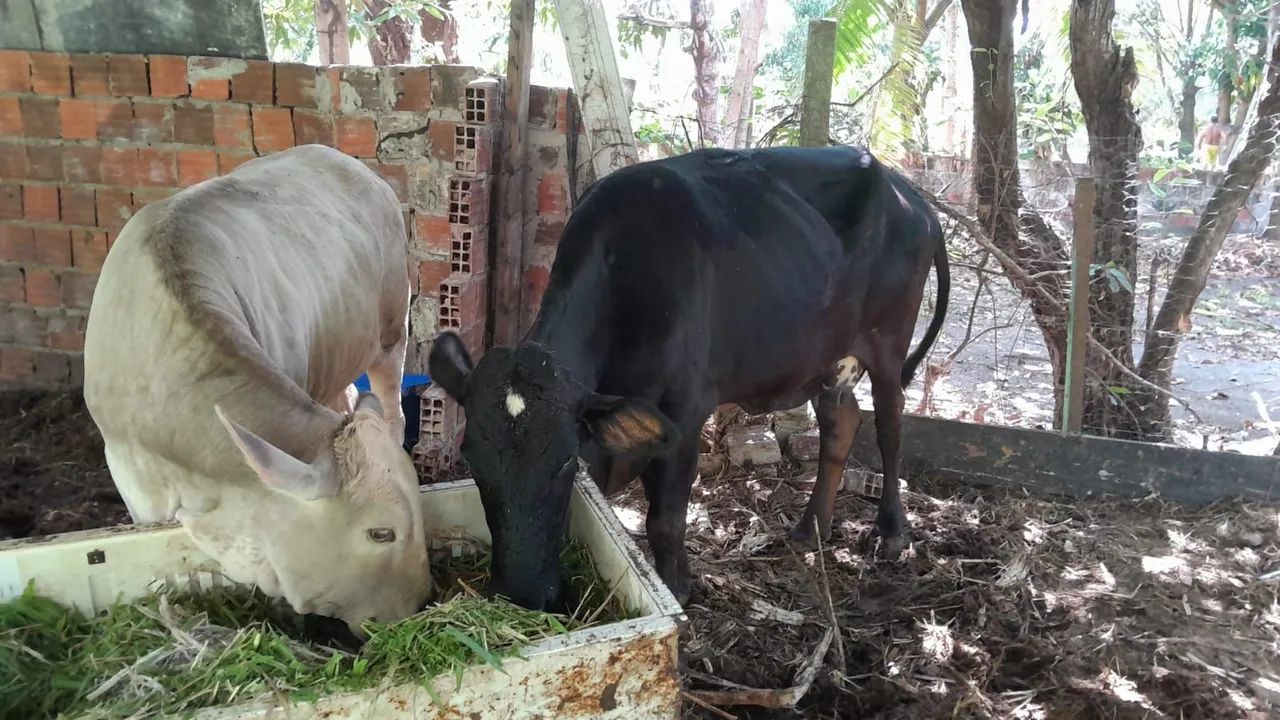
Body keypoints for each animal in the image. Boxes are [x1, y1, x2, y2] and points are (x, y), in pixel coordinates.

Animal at [83, 145, 432, 634]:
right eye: (381, 533)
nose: (423, 603)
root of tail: (340, 158)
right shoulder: (133, 489)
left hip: (390, 331)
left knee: (392, 406)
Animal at [429, 145, 949, 610]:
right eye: (472, 460)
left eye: (565, 463)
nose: (520, 595)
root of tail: (912, 196)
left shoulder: (685, 409)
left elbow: (666, 518)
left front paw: (677, 587)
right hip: (828, 352)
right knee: (840, 420)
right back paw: (811, 529)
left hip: (888, 343)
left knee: (890, 426)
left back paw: (894, 530)